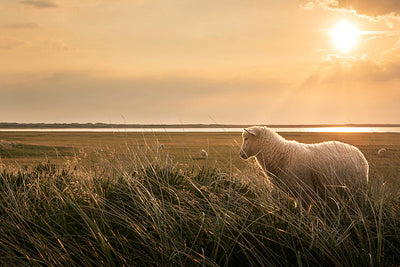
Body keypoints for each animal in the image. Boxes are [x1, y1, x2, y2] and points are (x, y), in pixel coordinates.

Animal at [239, 126, 370, 204]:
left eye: (246, 138)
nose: (241, 154)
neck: (281, 154)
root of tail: (359, 153)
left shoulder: (305, 191)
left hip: (358, 189)